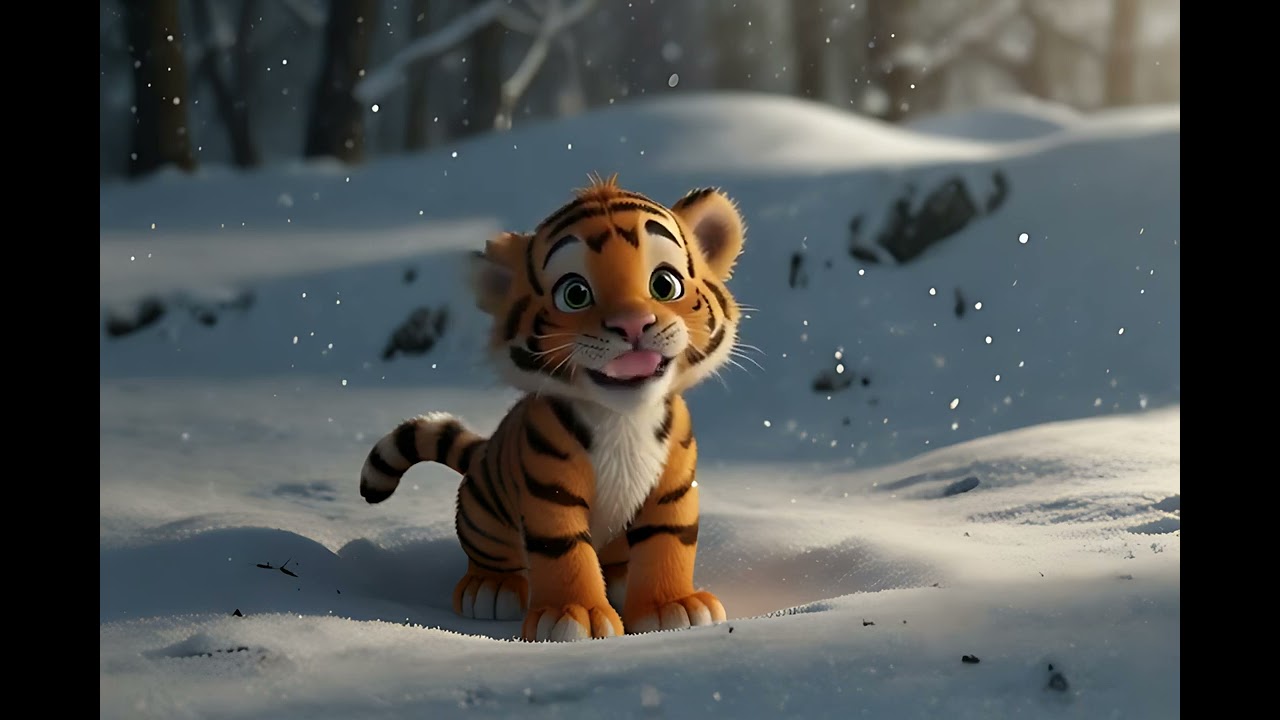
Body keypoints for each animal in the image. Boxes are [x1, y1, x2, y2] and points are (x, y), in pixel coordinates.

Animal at [358, 174, 746, 642]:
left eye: (664, 284)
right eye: (575, 294)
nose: (633, 323)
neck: (623, 418)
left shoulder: (672, 486)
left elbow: (667, 541)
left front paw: (671, 608)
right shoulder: (549, 490)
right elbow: (564, 553)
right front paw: (575, 618)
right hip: (481, 513)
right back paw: (490, 589)